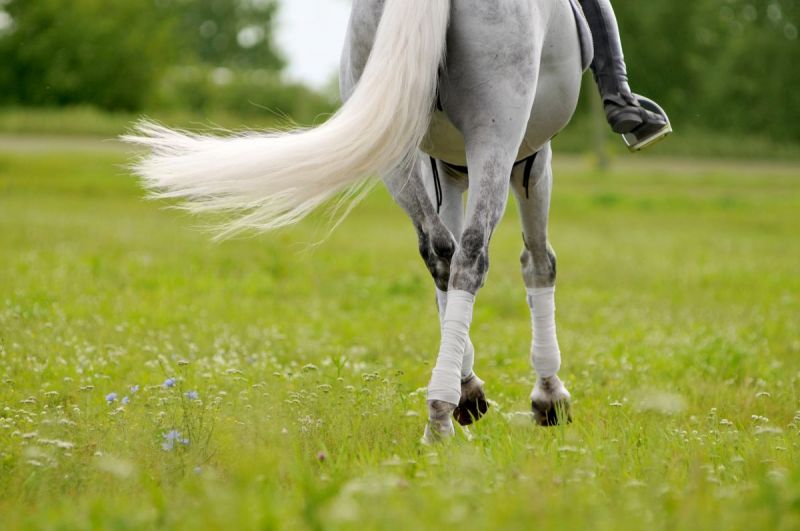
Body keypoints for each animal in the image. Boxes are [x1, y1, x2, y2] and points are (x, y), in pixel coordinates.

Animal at [123, 0, 593, 442]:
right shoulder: (530, 159)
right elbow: (538, 262)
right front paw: (549, 397)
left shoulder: (444, 167)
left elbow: (451, 249)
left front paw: (476, 387)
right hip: (494, 134)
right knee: (471, 258)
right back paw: (441, 417)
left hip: (398, 147)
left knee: (440, 253)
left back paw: (455, 397)